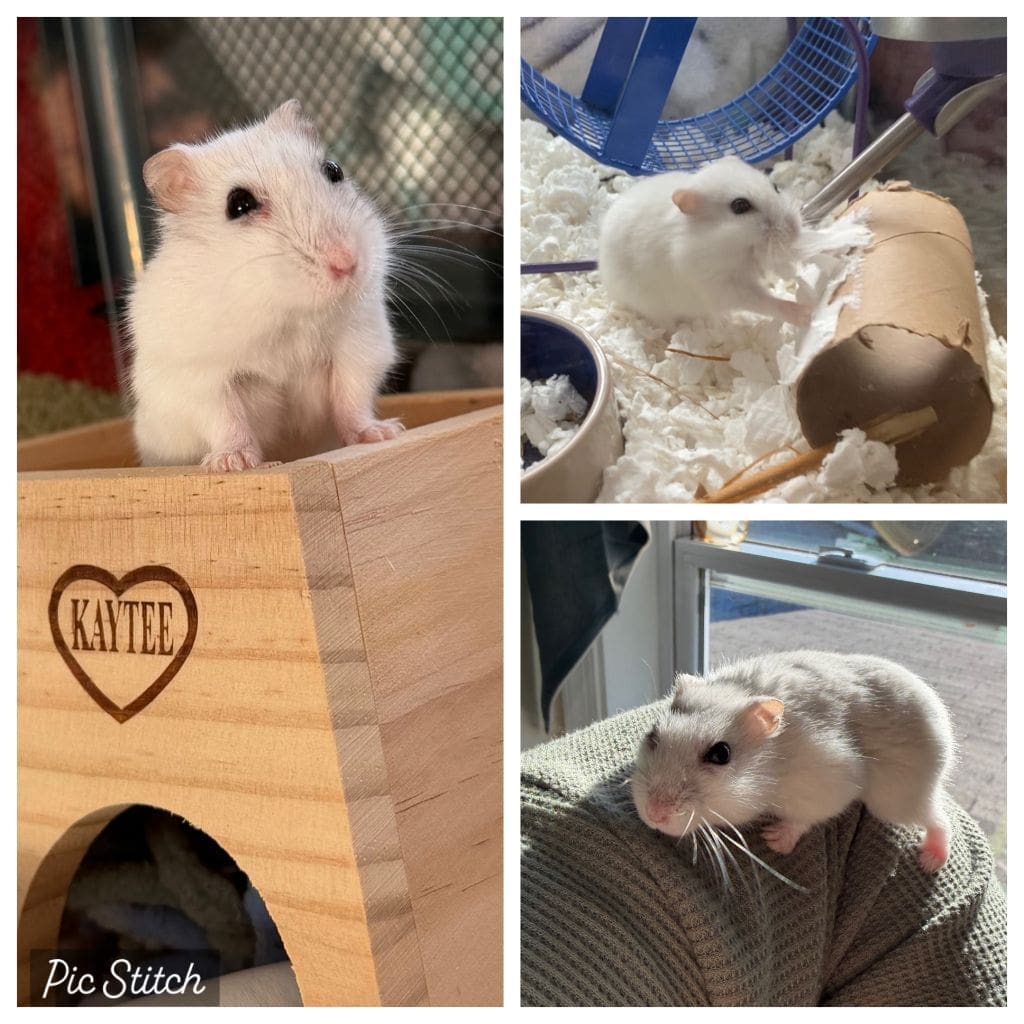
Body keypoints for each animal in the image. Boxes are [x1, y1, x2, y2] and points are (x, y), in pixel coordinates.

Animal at [127, 99, 401, 470]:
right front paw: (233, 464)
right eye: (238, 204)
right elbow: (225, 419)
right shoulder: (198, 378)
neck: (286, 310)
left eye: (334, 170)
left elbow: (351, 397)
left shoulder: (360, 345)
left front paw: (380, 434)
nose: (347, 264)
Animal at [598, 156, 808, 327]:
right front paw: (804, 313)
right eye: (740, 206)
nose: (795, 230)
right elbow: (760, 300)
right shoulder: (720, 284)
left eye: (775, 187)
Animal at [631, 651, 955, 873]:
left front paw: (774, 840)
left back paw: (930, 861)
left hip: (895, 799)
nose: (653, 815)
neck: (770, 765)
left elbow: (804, 819)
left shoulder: (831, 782)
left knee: (938, 817)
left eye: (721, 754)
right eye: (653, 735)